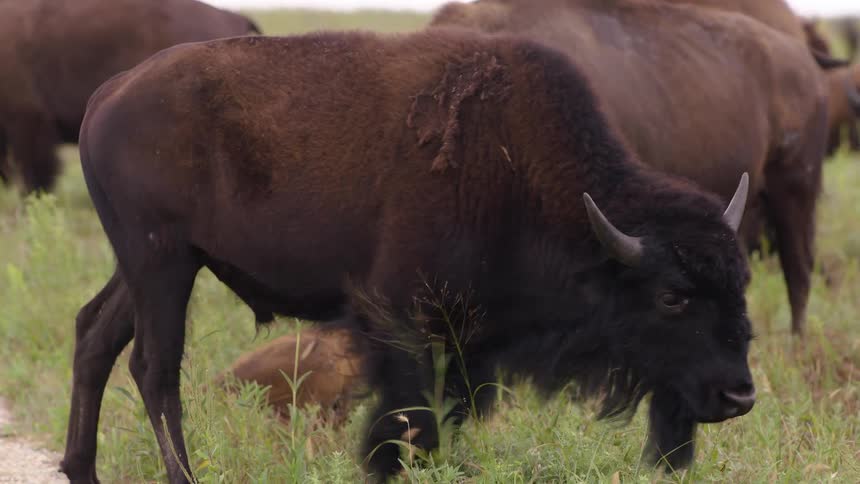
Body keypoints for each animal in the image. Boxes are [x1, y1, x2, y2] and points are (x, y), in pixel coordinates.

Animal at [61, 31, 755, 482]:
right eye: (672, 296)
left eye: (741, 284)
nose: (739, 396)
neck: (517, 172)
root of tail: (108, 94)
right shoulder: (402, 320)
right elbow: (409, 418)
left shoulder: (471, 342)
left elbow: (451, 413)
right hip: (163, 261)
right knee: (154, 366)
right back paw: (179, 476)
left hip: (149, 265)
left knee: (94, 335)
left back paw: (81, 469)